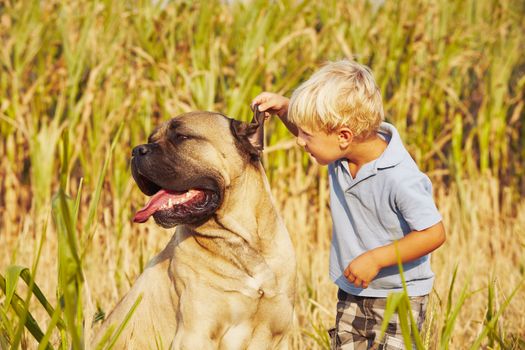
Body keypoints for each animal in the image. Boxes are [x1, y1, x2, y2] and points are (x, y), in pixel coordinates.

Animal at [90, 110, 294, 348]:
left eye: (182, 137)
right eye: (151, 139)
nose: (137, 150)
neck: (240, 241)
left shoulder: (277, 335)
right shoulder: (195, 334)